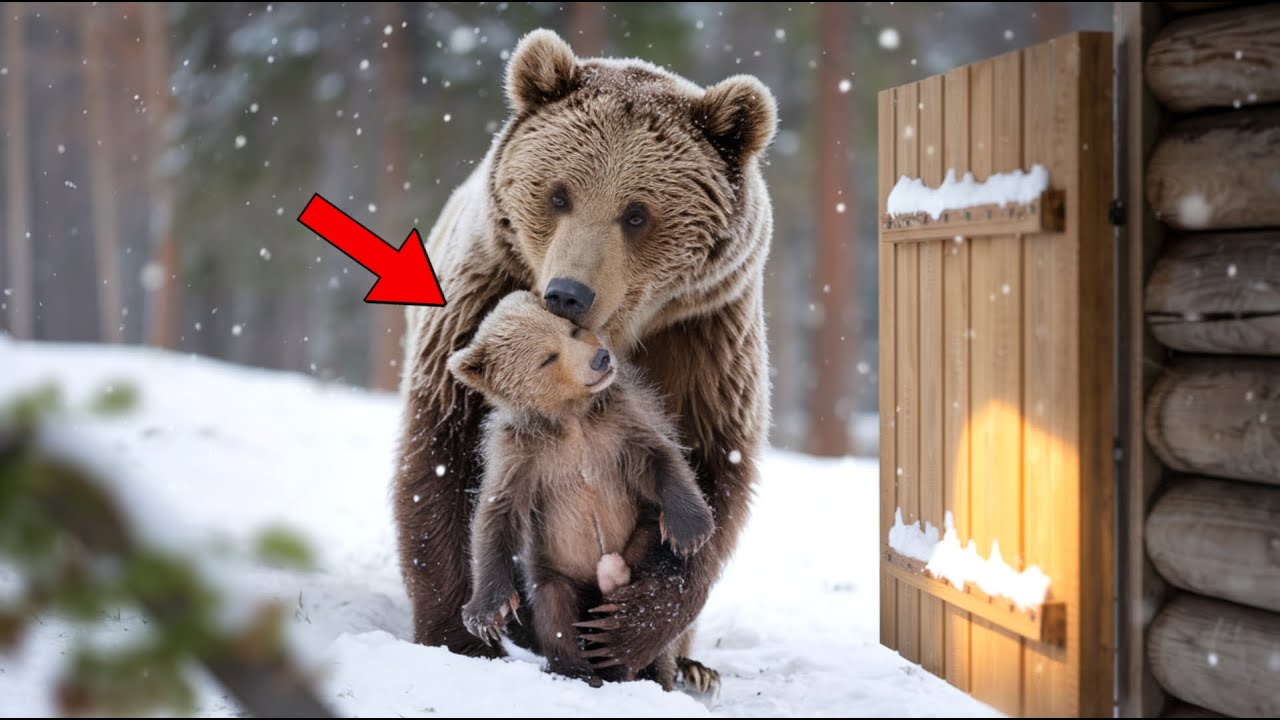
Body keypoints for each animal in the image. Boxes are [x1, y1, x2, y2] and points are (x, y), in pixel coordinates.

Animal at [445, 290, 716, 690]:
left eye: (571, 329)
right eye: (547, 357)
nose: (600, 358)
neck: (571, 419)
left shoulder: (617, 429)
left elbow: (660, 460)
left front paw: (689, 529)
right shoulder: (523, 458)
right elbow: (496, 516)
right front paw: (485, 614)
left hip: (637, 535)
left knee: (639, 576)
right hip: (555, 571)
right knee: (556, 612)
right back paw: (578, 668)